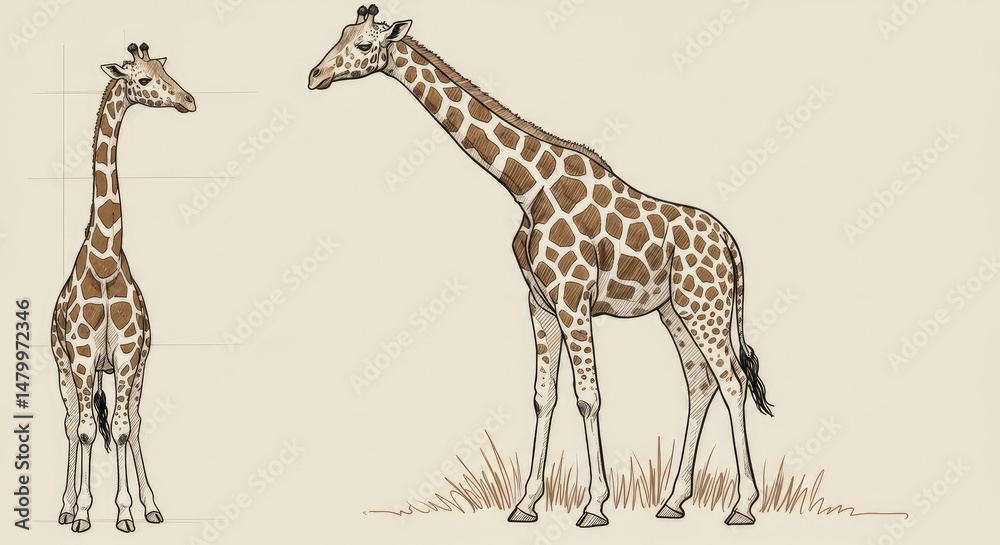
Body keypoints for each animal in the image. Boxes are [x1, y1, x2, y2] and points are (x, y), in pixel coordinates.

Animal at [50, 42, 196, 534]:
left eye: (165, 71)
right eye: (144, 79)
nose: (188, 100)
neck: (105, 260)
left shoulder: (131, 354)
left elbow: (123, 427)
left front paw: (130, 510)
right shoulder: (80, 355)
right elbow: (86, 430)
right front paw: (82, 513)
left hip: (130, 367)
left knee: (128, 417)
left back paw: (148, 504)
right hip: (66, 366)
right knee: (72, 421)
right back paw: (64, 506)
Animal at [308, 5, 774, 527]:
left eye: (365, 45)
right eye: (342, 33)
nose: (315, 76)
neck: (527, 186)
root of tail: (730, 244)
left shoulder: (574, 299)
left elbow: (588, 396)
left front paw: (594, 506)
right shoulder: (540, 302)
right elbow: (542, 396)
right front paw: (526, 503)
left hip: (704, 305)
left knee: (732, 381)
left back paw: (743, 506)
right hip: (674, 308)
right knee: (699, 381)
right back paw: (673, 502)